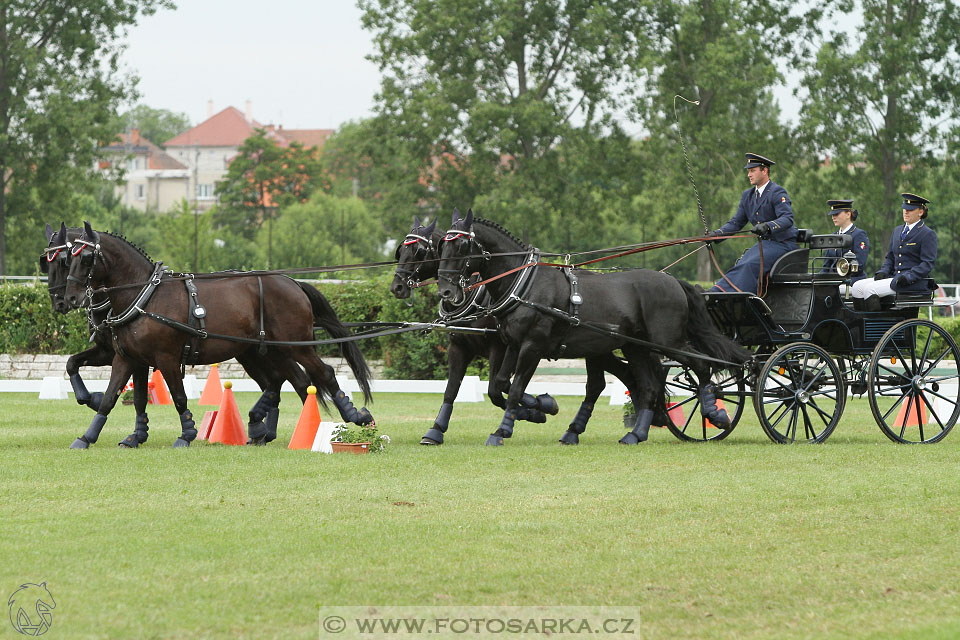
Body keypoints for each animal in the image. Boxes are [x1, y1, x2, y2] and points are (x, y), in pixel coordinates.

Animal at [62, 222, 374, 448]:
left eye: (86, 258)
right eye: (68, 259)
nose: (71, 298)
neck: (145, 297)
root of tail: (292, 282)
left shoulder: (166, 357)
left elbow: (179, 397)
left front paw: (186, 434)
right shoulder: (126, 358)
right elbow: (112, 398)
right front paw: (88, 437)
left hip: (296, 345)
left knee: (321, 374)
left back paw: (353, 416)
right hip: (265, 350)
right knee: (291, 381)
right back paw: (270, 429)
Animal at [390, 215, 644, 444]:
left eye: (419, 252)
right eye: (400, 251)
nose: (397, 287)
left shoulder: (500, 347)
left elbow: (496, 389)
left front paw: (538, 409)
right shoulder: (459, 347)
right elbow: (452, 389)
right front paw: (436, 430)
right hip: (599, 348)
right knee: (623, 376)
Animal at [436, 210, 752, 444]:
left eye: (461, 245)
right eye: (442, 245)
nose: (445, 291)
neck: (526, 284)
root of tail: (673, 280)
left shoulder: (532, 346)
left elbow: (513, 389)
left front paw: (502, 430)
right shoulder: (513, 344)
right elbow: (501, 384)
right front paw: (539, 407)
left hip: (669, 342)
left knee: (701, 366)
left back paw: (714, 413)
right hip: (635, 347)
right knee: (649, 386)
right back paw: (635, 434)